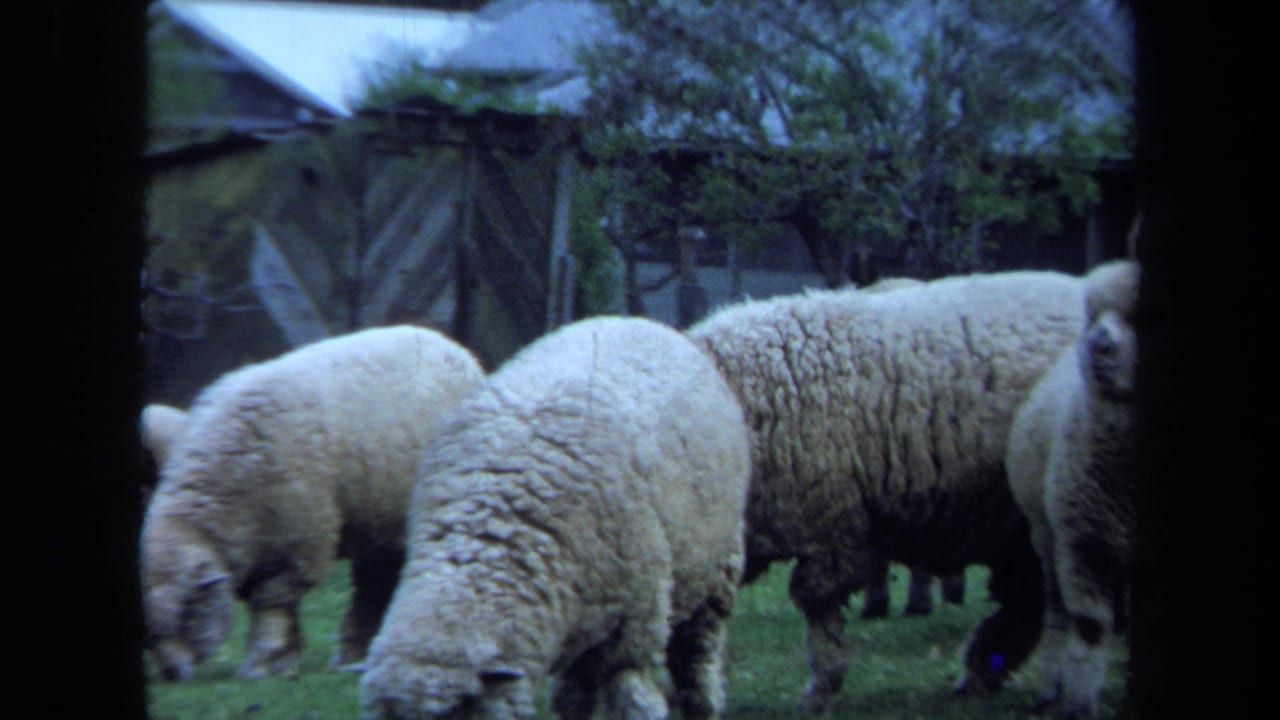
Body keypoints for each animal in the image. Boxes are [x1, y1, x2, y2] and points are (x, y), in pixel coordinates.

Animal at [141, 325, 486, 682]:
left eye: (184, 611)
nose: (171, 675)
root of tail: (449, 344)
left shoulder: (296, 542)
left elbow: (272, 606)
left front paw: (263, 663)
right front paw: (284, 661)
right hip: (379, 517)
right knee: (374, 582)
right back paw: (353, 654)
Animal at [359, 315, 751, 720]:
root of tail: (629, 319)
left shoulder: (632, 626)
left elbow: (633, 696)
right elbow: (573, 699)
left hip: (716, 569)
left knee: (697, 655)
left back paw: (702, 702)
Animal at [1006, 260, 1140, 719]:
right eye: (1092, 315)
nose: (1098, 345)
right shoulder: (1084, 545)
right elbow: (1090, 628)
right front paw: (1079, 703)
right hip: (1048, 535)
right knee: (1058, 611)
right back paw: (1052, 686)